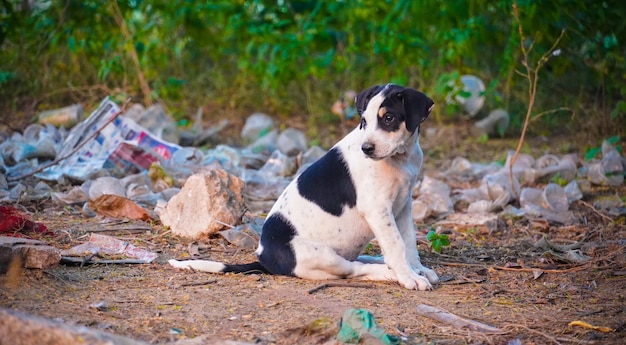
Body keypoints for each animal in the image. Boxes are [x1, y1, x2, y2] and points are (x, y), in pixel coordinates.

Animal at [168, 84, 436, 290]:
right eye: (364, 121)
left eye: (389, 118)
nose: (366, 149)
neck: (400, 158)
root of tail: (264, 259)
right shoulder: (377, 209)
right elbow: (396, 244)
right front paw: (409, 277)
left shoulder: (402, 206)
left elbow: (408, 242)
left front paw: (418, 270)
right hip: (321, 255)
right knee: (355, 269)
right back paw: (388, 272)